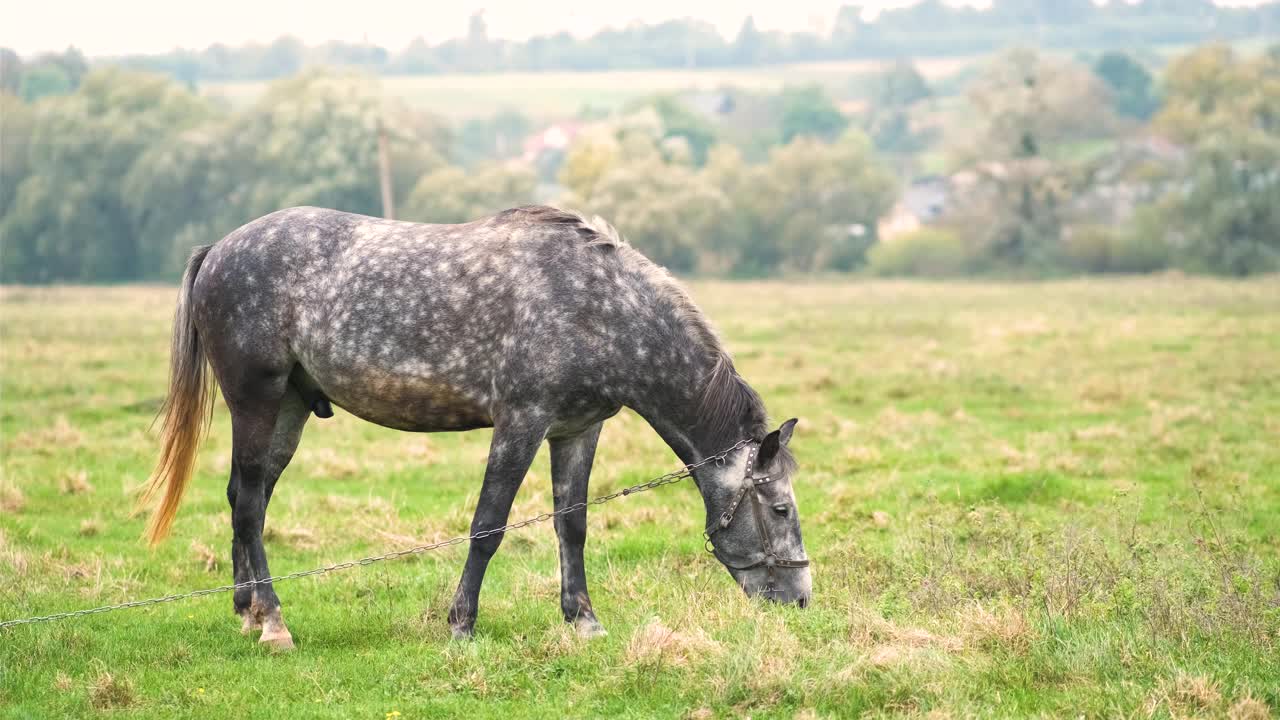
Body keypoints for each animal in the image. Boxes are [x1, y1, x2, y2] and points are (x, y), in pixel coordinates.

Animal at [142, 204, 808, 648]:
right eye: (780, 509)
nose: (800, 600)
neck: (601, 307)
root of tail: (218, 249)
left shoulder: (576, 431)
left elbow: (573, 527)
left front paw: (584, 620)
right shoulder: (521, 422)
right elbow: (488, 527)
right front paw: (461, 625)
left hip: (289, 409)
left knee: (246, 497)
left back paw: (248, 610)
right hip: (256, 400)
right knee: (251, 503)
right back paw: (274, 624)